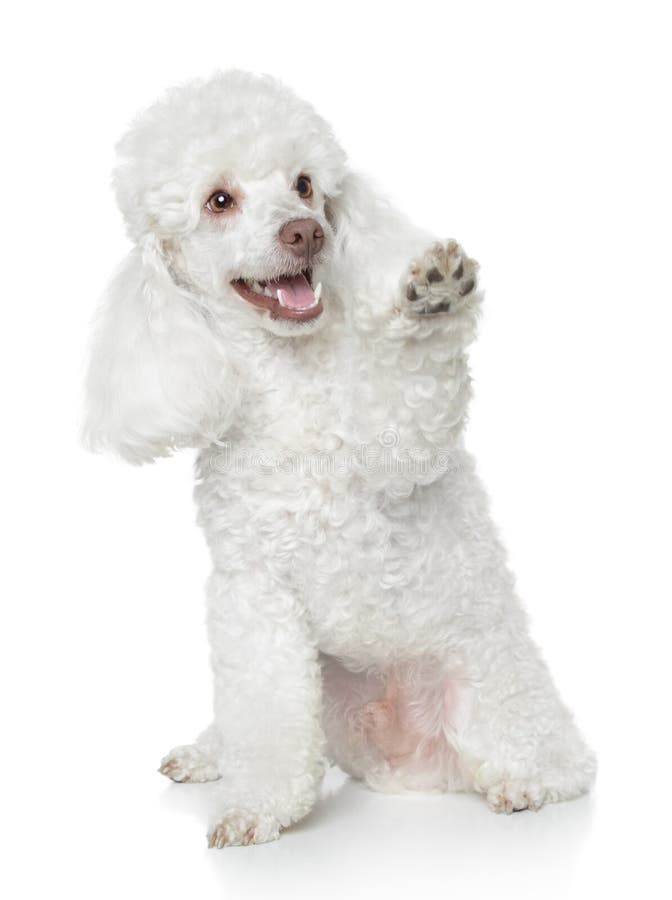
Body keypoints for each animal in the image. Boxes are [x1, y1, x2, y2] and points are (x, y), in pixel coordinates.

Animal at [84, 68, 592, 844]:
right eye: (219, 200)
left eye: (304, 185)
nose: (307, 232)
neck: (289, 382)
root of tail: (402, 765)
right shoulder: (254, 595)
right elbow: (263, 710)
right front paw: (258, 804)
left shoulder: (402, 440)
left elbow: (421, 388)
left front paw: (435, 297)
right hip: (324, 688)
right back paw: (212, 753)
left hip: (494, 695)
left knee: (558, 763)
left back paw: (527, 781)